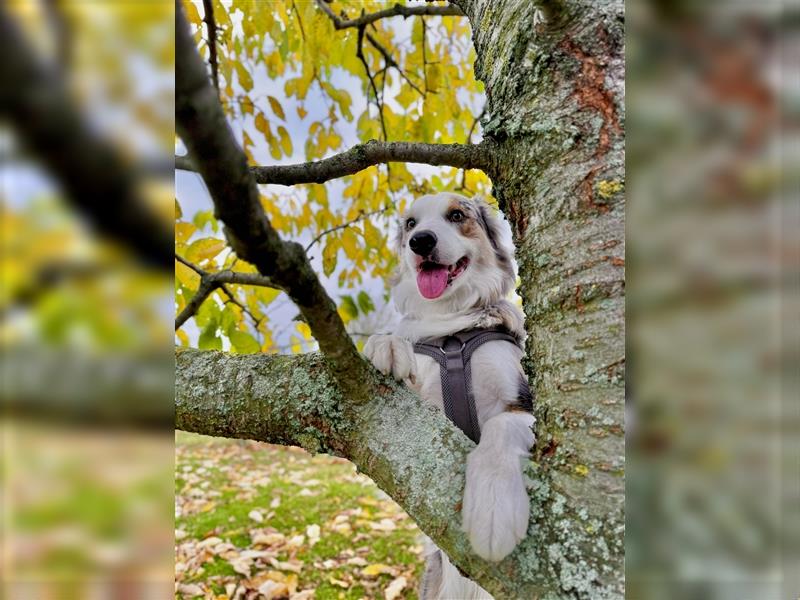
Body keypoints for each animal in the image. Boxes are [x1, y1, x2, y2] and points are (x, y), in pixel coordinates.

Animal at [366, 192, 536, 600]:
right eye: (411, 224)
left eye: (457, 215)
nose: (420, 242)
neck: (453, 331)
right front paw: (386, 344)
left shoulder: (523, 402)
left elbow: (502, 425)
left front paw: (493, 506)